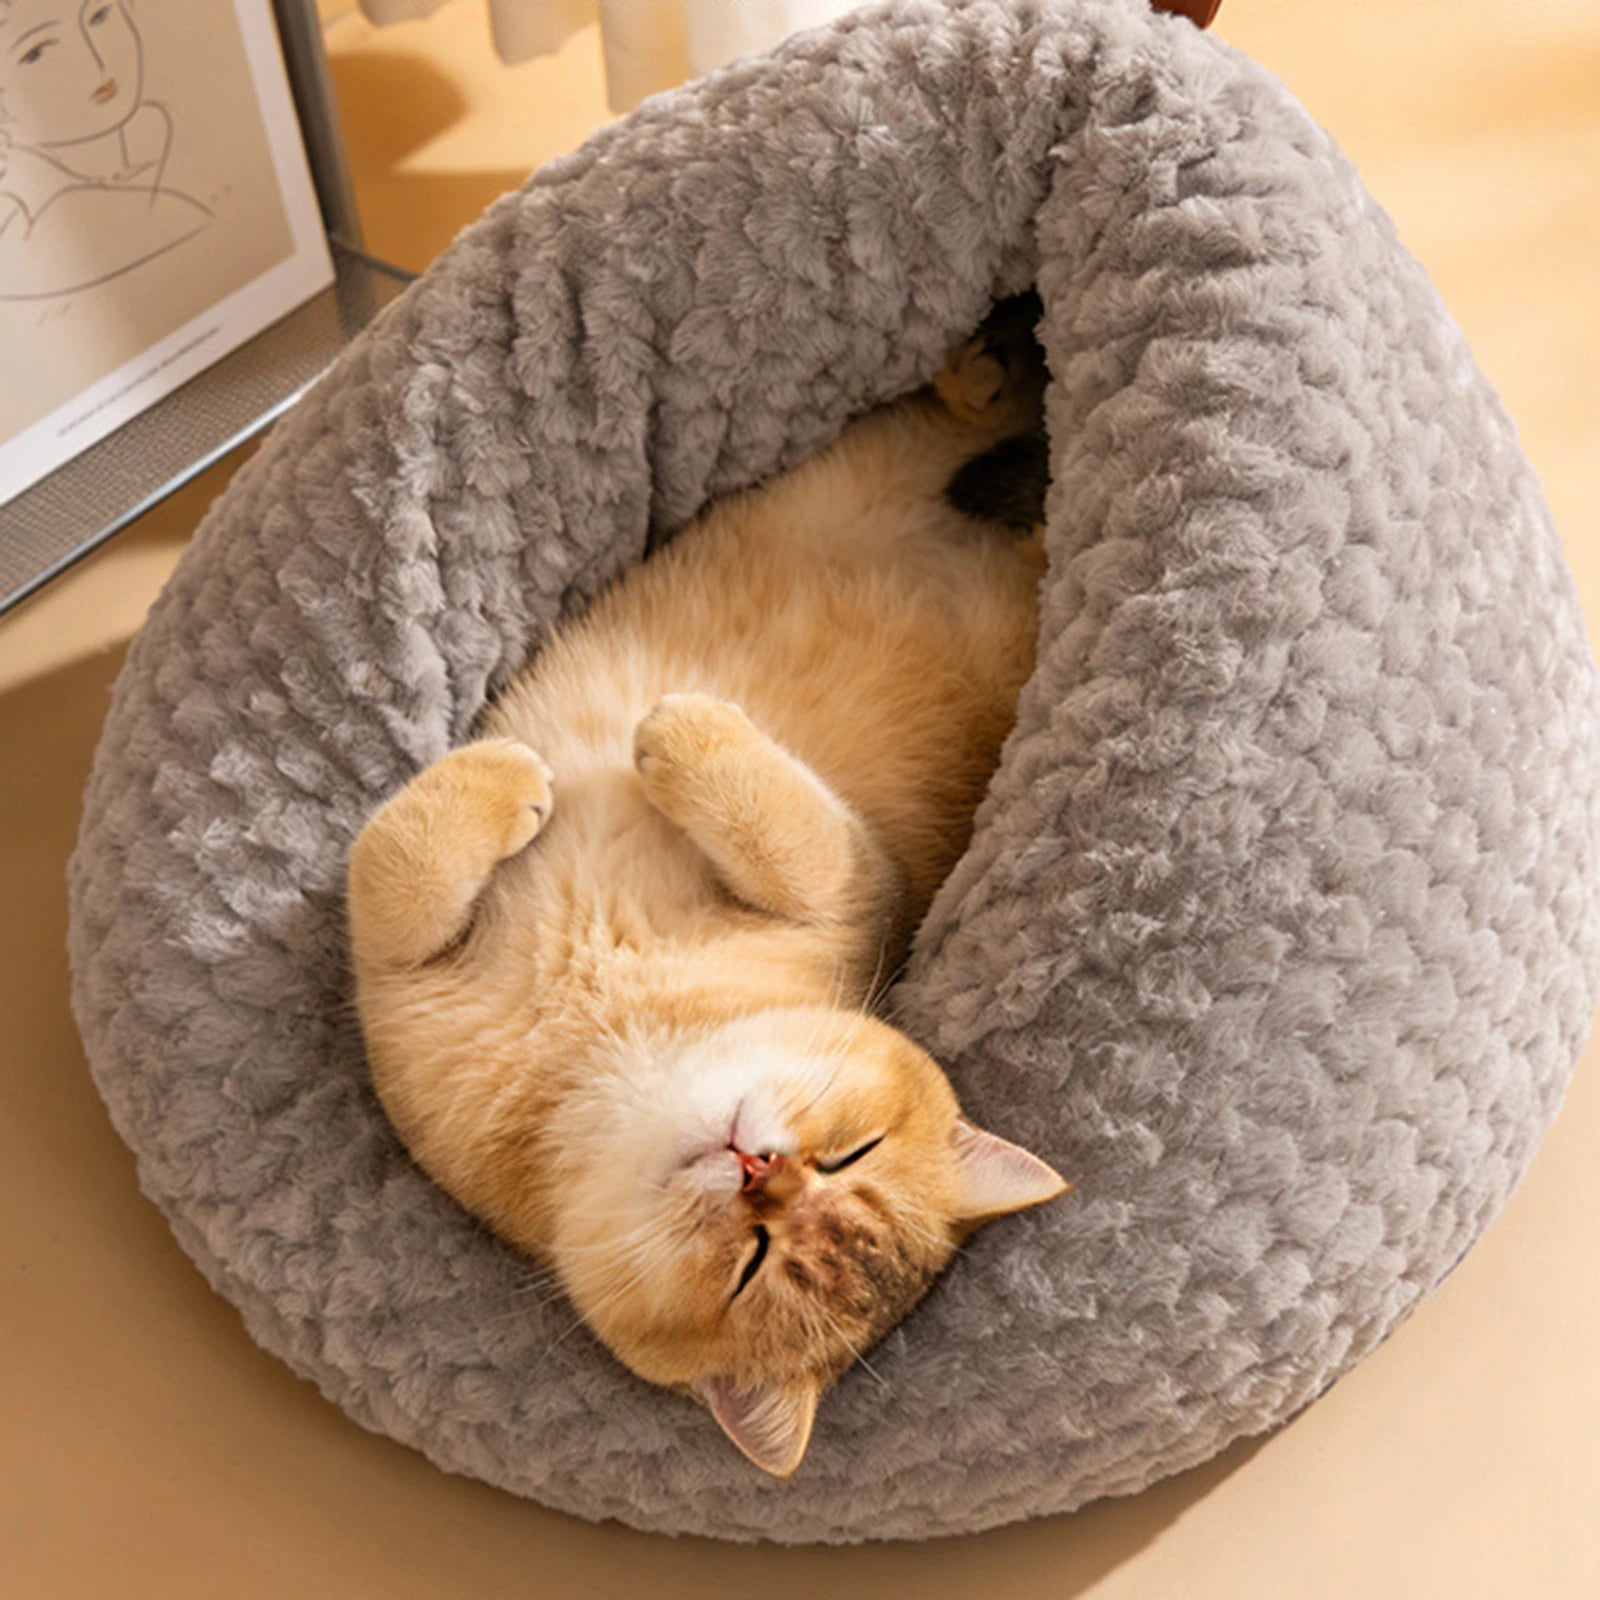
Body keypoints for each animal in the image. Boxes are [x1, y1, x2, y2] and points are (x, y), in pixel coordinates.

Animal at [346, 296, 1069, 1477]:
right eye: (848, 1153)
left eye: (755, 1260)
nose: (756, 1168)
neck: (608, 1030)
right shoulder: (402, 980)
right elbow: (399, 861)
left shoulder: (861, 875)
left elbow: (776, 818)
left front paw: (663, 735)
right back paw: (987, 371)